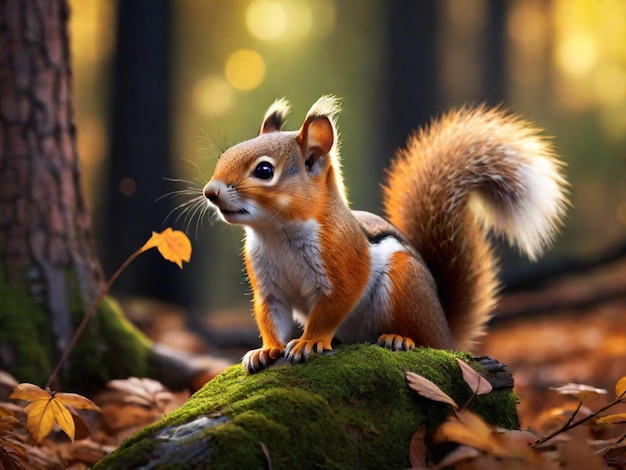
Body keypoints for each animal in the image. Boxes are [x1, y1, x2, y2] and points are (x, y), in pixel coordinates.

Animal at [201, 96, 564, 374]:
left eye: (264, 170)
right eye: (224, 155)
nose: (210, 192)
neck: (277, 231)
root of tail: (447, 333)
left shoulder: (345, 261)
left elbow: (332, 306)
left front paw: (309, 342)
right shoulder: (269, 285)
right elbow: (270, 315)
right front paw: (266, 350)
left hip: (407, 286)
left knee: (425, 342)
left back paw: (399, 339)